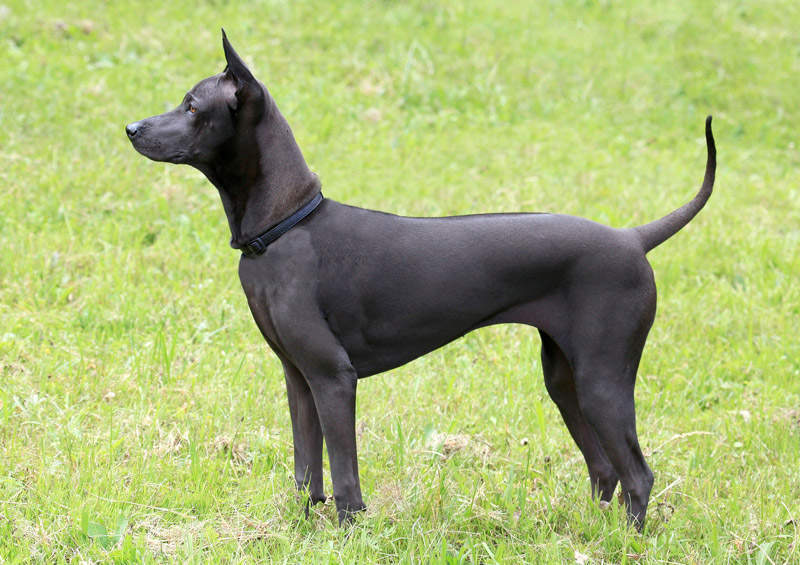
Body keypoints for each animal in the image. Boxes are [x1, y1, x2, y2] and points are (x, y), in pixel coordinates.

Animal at [126, 28, 720, 528]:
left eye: (192, 106)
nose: (131, 127)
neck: (288, 223)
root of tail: (632, 237)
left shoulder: (333, 378)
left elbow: (344, 475)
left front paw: (348, 533)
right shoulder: (298, 379)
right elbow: (305, 471)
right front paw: (301, 528)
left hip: (602, 379)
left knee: (638, 474)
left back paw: (627, 541)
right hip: (564, 380)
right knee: (606, 469)